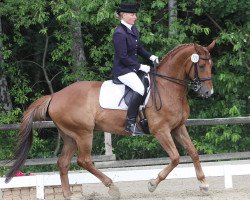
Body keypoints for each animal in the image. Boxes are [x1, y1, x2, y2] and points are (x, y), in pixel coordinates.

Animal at [4, 40, 215, 198]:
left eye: (211, 65)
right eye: (201, 65)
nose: (208, 93)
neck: (167, 87)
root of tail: (55, 96)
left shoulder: (178, 127)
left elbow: (193, 153)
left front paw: (204, 184)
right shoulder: (161, 130)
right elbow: (176, 157)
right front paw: (152, 184)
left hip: (70, 136)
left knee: (63, 163)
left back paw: (69, 195)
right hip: (83, 133)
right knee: (84, 160)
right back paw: (112, 187)